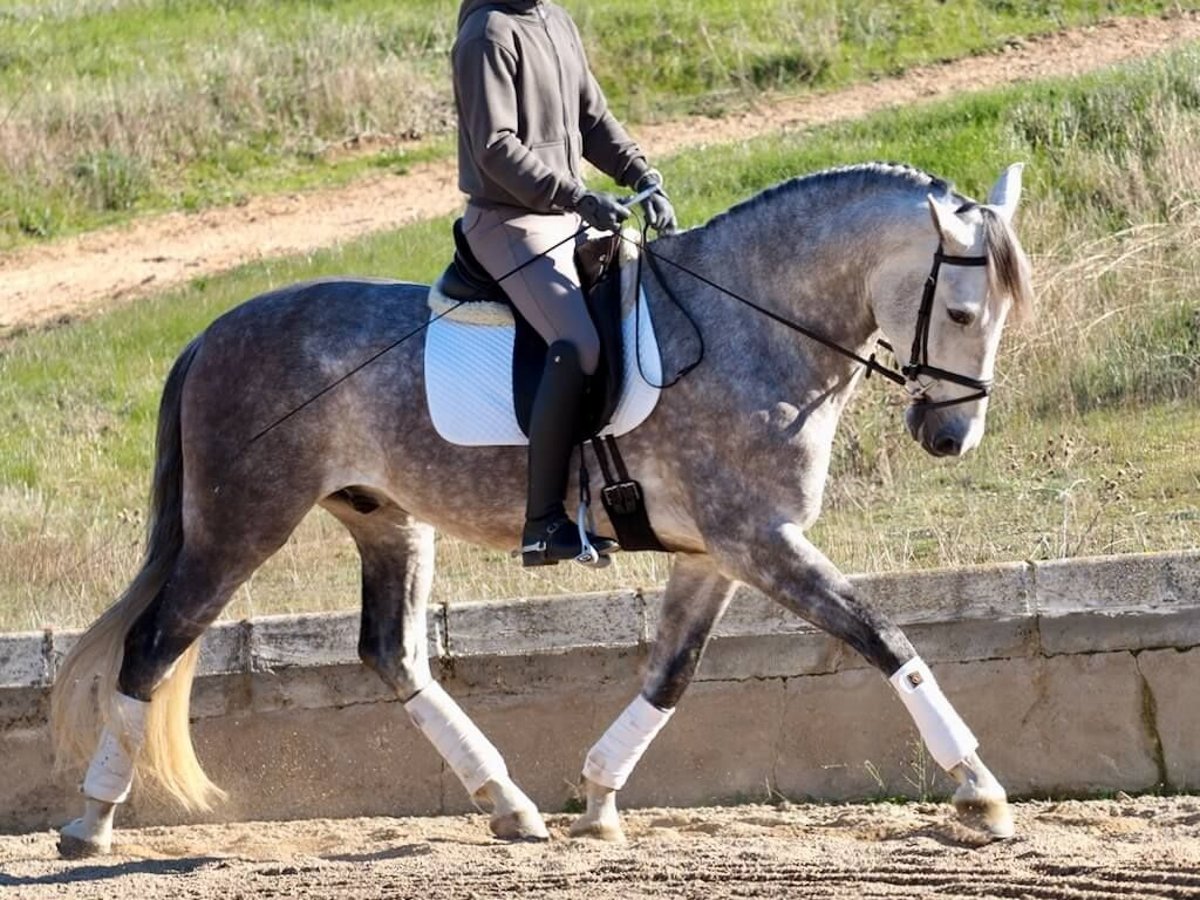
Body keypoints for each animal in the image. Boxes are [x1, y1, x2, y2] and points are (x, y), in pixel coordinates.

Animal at [54, 162, 1032, 859]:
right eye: (960, 310)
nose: (951, 437)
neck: (753, 325)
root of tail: (212, 331)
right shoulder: (760, 541)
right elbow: (884, 637)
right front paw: (980, 790)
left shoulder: (717, 554)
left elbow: (671, 675)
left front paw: (598, 801)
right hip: (241, 526)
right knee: (152, 647)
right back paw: (90, 821)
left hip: (387, 519)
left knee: (391, 652)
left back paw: (509, 805)